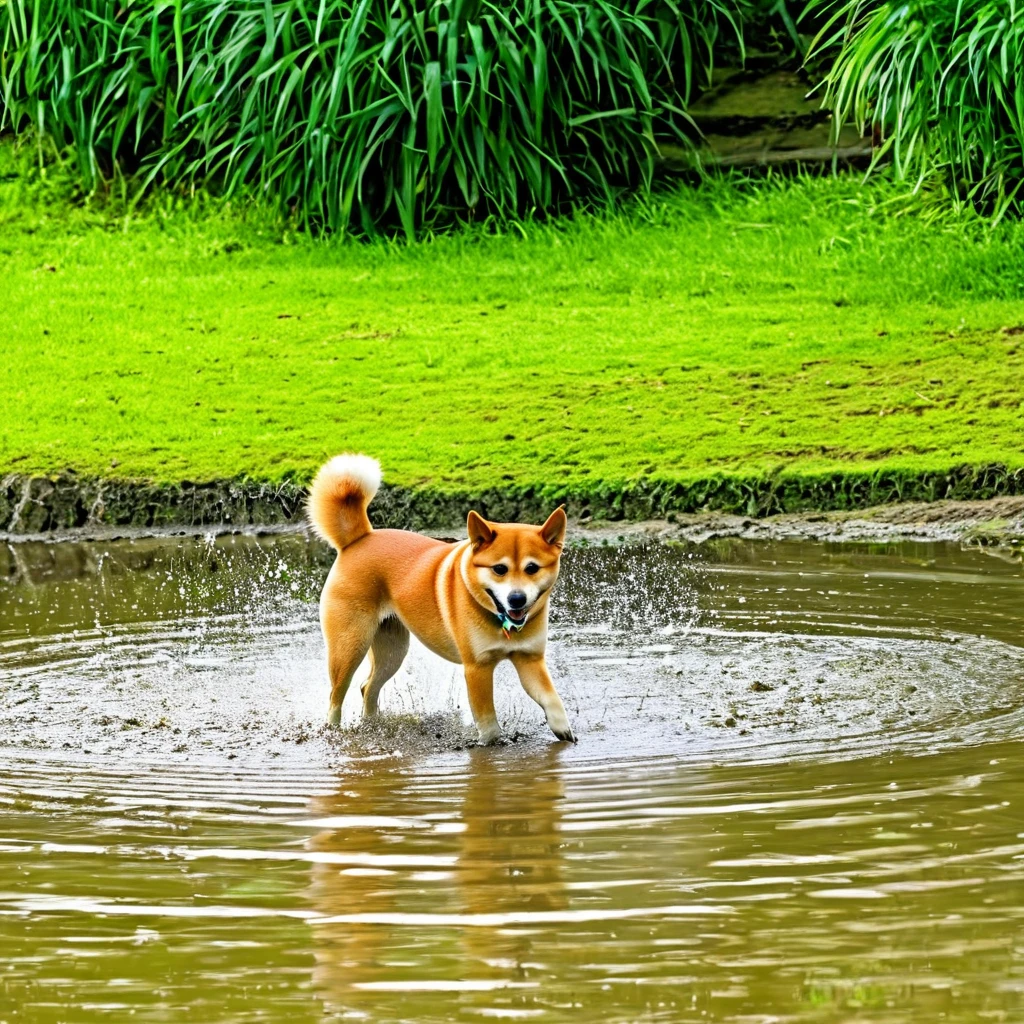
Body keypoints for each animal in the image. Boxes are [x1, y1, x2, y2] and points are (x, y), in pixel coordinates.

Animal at [303, 456, 577, 745]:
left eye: (532, 568)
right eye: (499, 569)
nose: (516, 599)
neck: (501, 619)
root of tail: (359, 538)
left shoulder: (529, 660)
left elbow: (552, 699)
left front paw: (565, 732)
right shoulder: (477, 669)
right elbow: (488, 724)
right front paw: (490, 746)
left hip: (392, 650)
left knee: (368, 688)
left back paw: (372, 726)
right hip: (349, 647)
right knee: (336, 696)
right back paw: (334, 730)